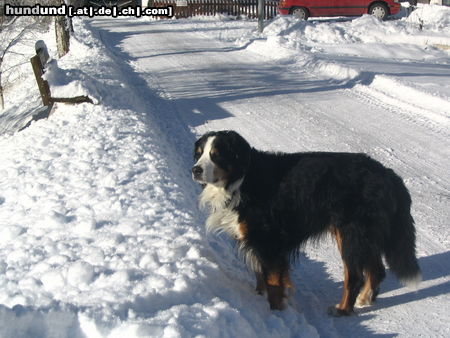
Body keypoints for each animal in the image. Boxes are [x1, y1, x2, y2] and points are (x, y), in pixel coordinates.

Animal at [192, 130, 420, 316]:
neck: (243, 179)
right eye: (199, 153)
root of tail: (389, 175)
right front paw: (259, 299)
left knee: (354, 276)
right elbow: (260, 276)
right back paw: (365, 300)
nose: (195, 170)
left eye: (217, 154)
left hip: (352, 234)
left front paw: (275, 313)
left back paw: (342, 309)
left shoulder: (267, 242)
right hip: (362, 235)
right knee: (377, 270)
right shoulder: (255, 241)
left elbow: (273, 283)